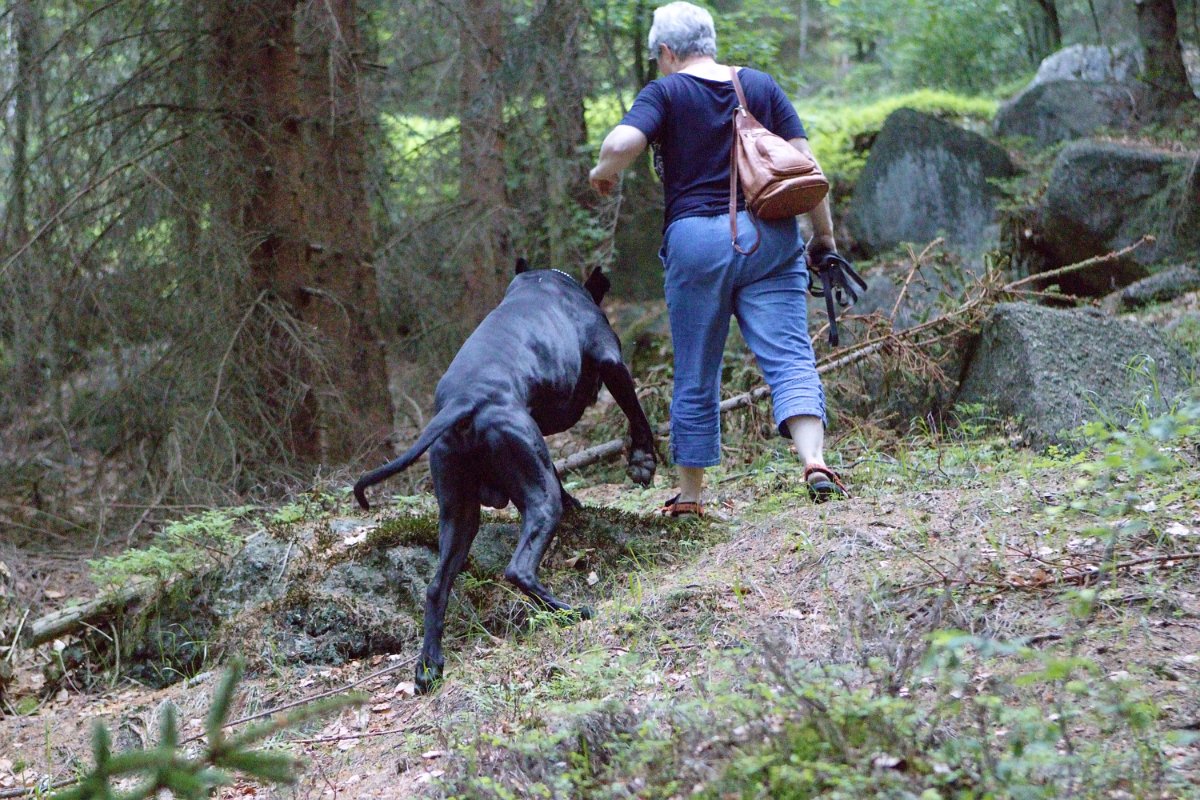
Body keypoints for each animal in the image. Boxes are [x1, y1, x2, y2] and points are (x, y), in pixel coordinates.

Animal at [352, 260, 657, 690]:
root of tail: (463, 401)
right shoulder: (611, 359)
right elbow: (637, 414)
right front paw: (644, 460)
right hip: (536, 500)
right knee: (519, 569)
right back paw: (570, 612)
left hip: (460, 515)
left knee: (436, 588)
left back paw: (429, 665)